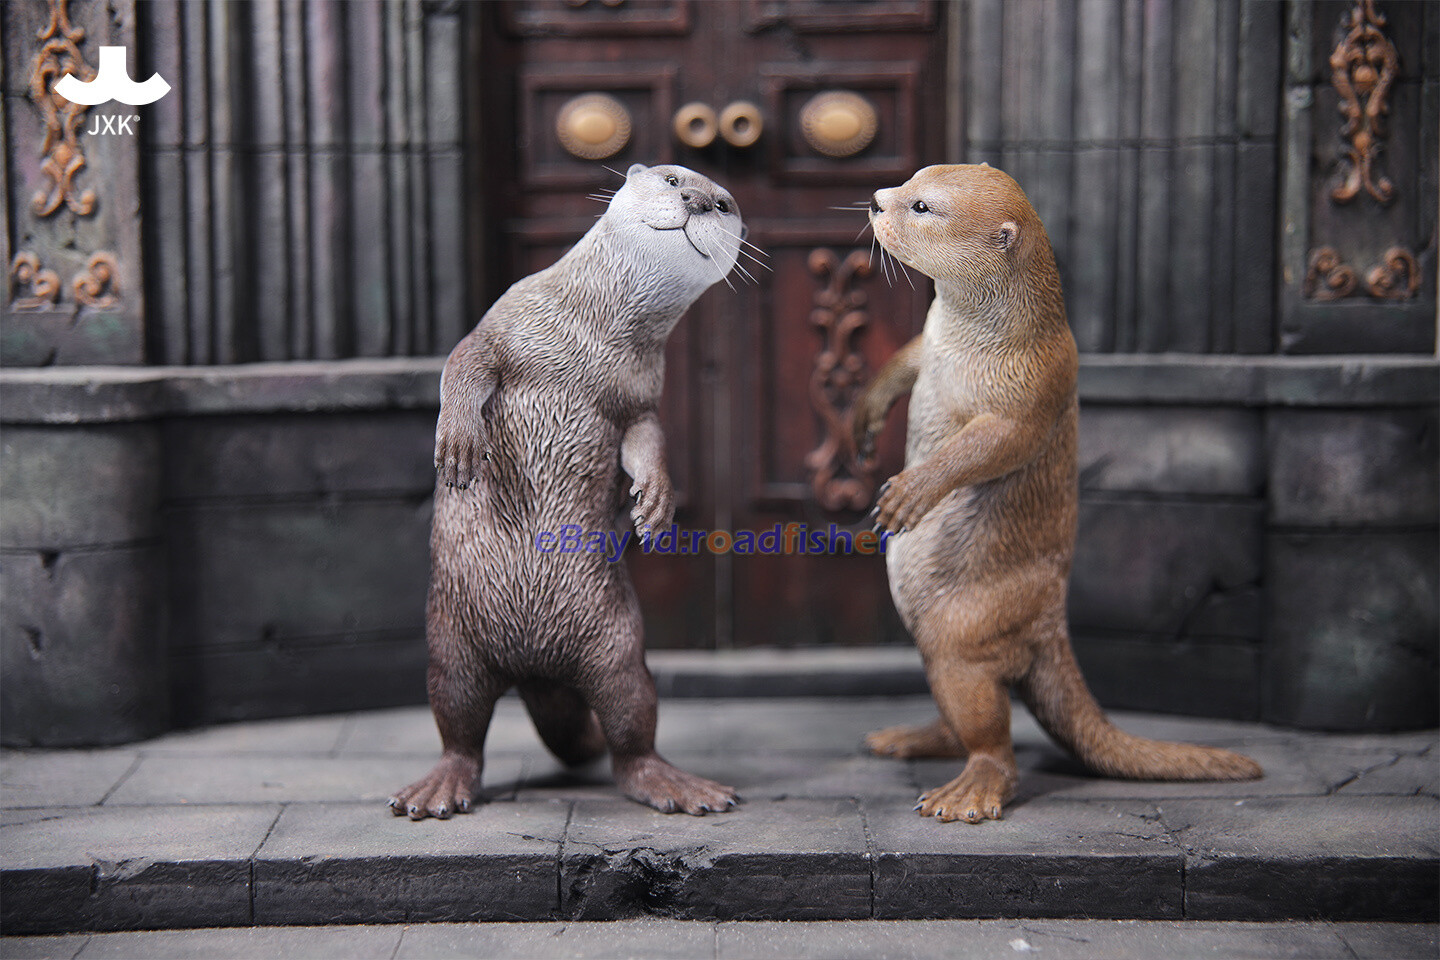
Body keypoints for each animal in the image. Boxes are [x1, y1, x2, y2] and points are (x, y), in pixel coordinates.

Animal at [391, 164, 743, 820]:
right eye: (672, 178)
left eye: (725, 204)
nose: (698, 200)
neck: (590, 342)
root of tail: (535, 667)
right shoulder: (505, 320)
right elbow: (464, 361)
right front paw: (459, 442)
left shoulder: (641, 394)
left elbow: (648, 437)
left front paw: (656, 502)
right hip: (452, 641)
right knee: (458, 724)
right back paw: (438, 789)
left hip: (617, 645)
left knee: (632, 725)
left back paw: (676, 785)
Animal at [852, 164, 1261, 823]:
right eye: (911, 179)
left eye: (921, 206)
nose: (874, 200)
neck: (976, 344)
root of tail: (1049, 628)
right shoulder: (929, 342)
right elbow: (903, 363)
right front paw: (863, 416)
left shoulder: (1032, 387)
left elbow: (989, 446)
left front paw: (910, 493)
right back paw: (907, 739)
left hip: (966, 631)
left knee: (991, 732)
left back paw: (967, 795)